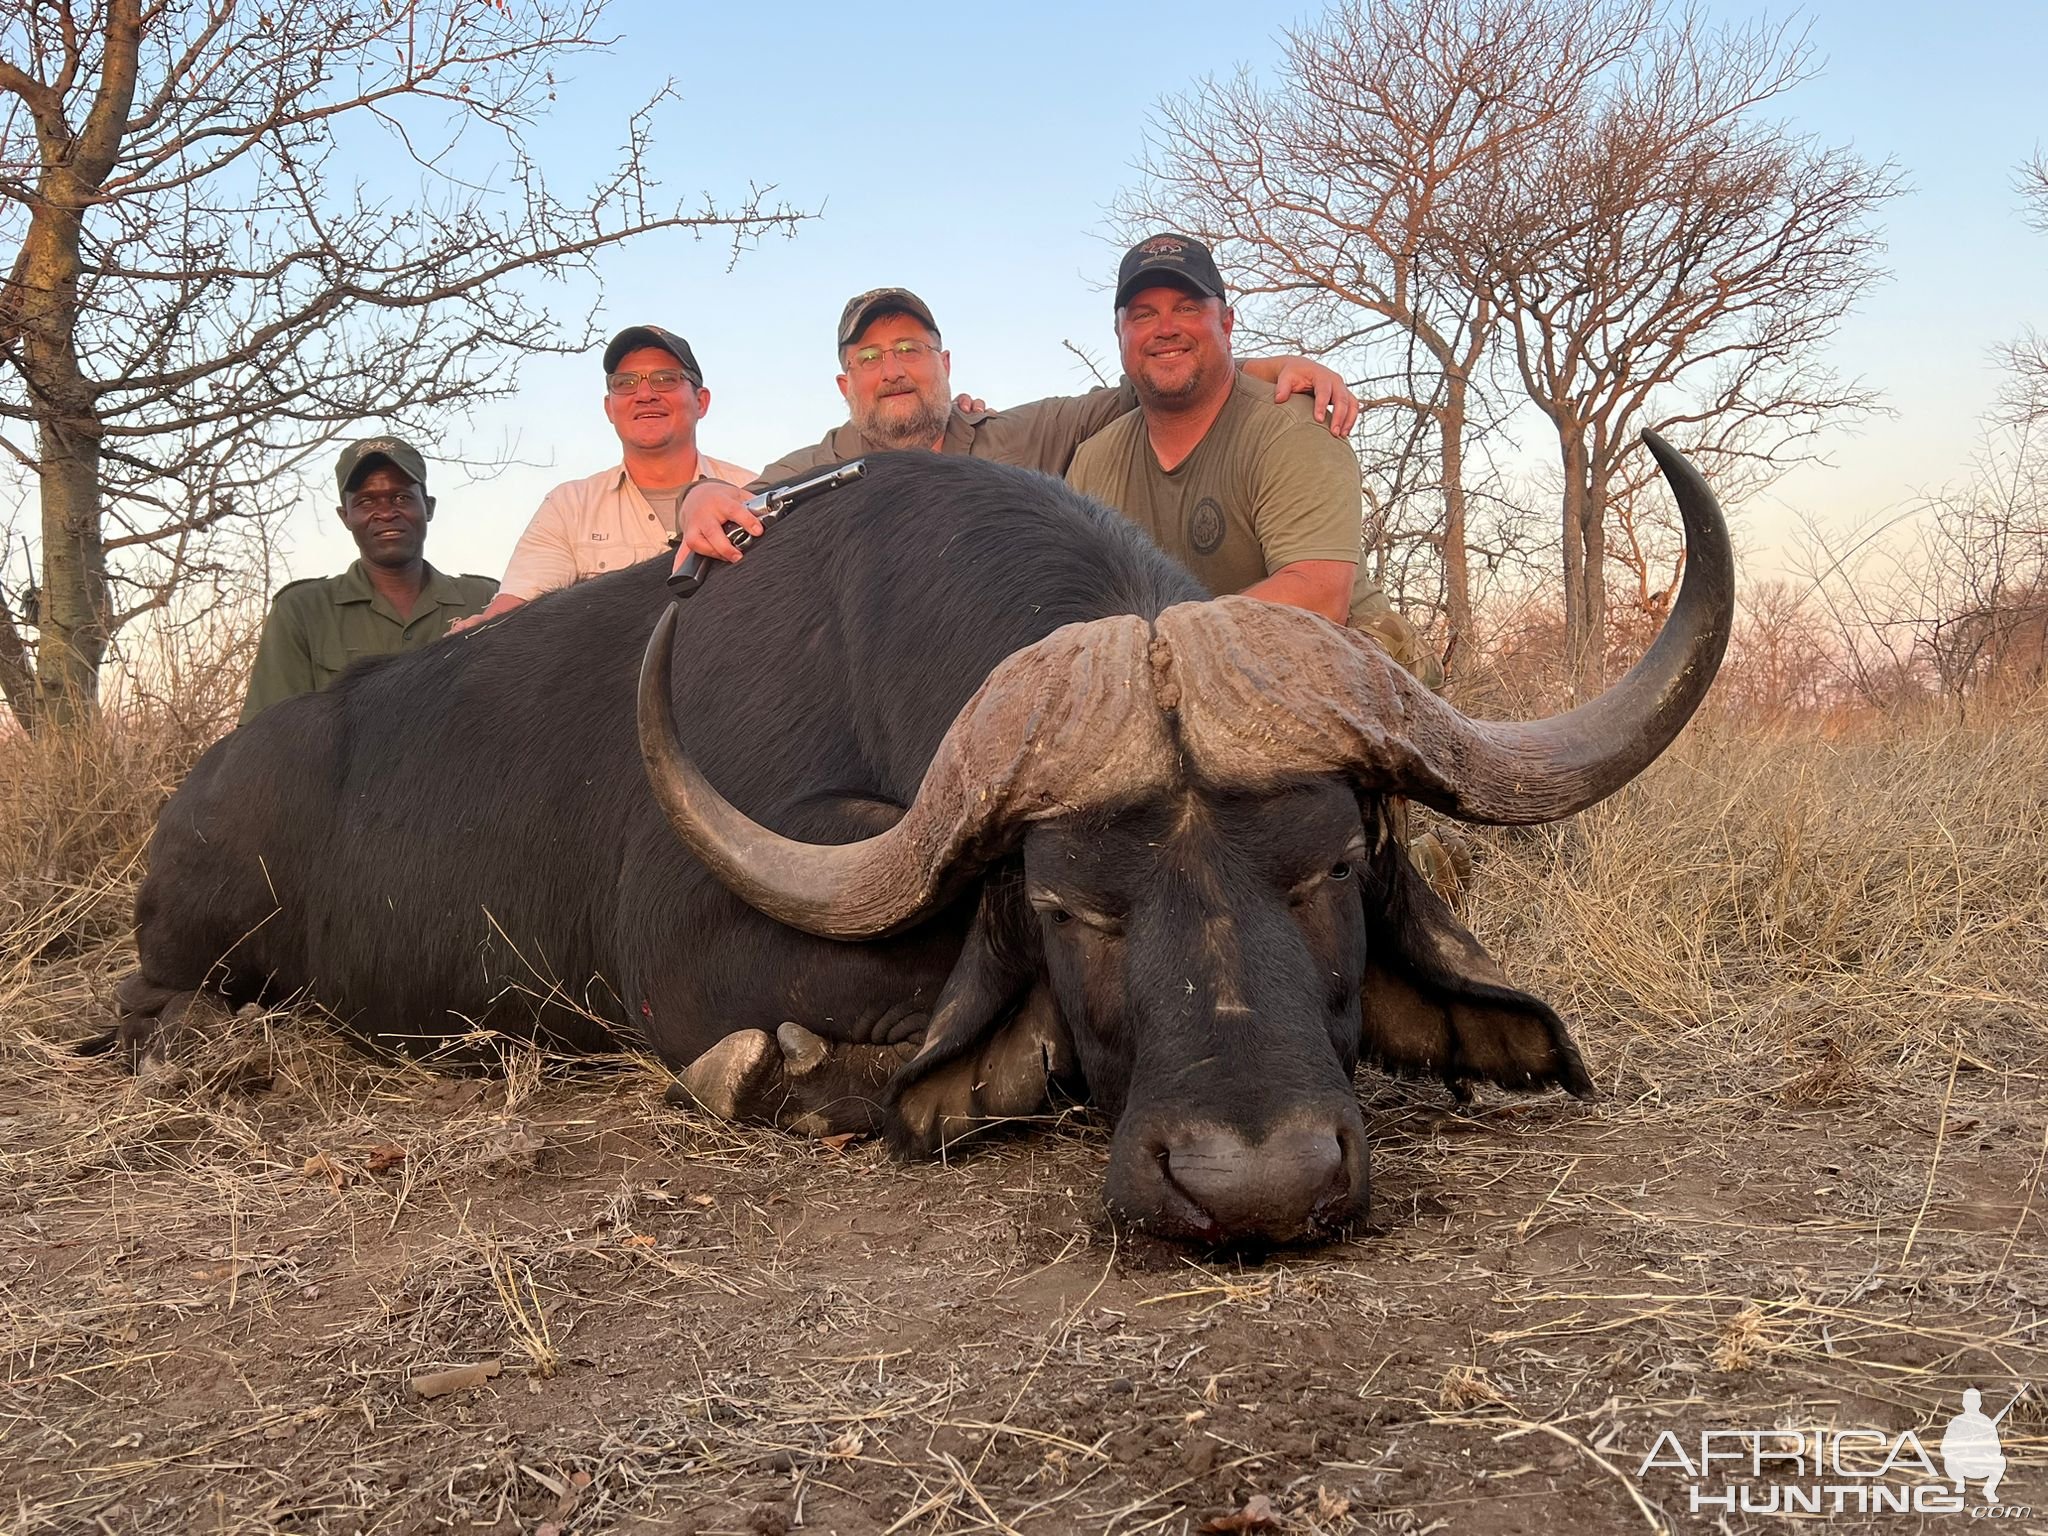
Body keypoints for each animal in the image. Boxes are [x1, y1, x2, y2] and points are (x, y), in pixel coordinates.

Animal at [99, 434, 1728, 1253]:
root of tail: (201, 791)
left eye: (1329, 865)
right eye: (1071, 910)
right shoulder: (690, 962)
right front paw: (844, 1065)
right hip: (192, 953)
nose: (1258, 1183)